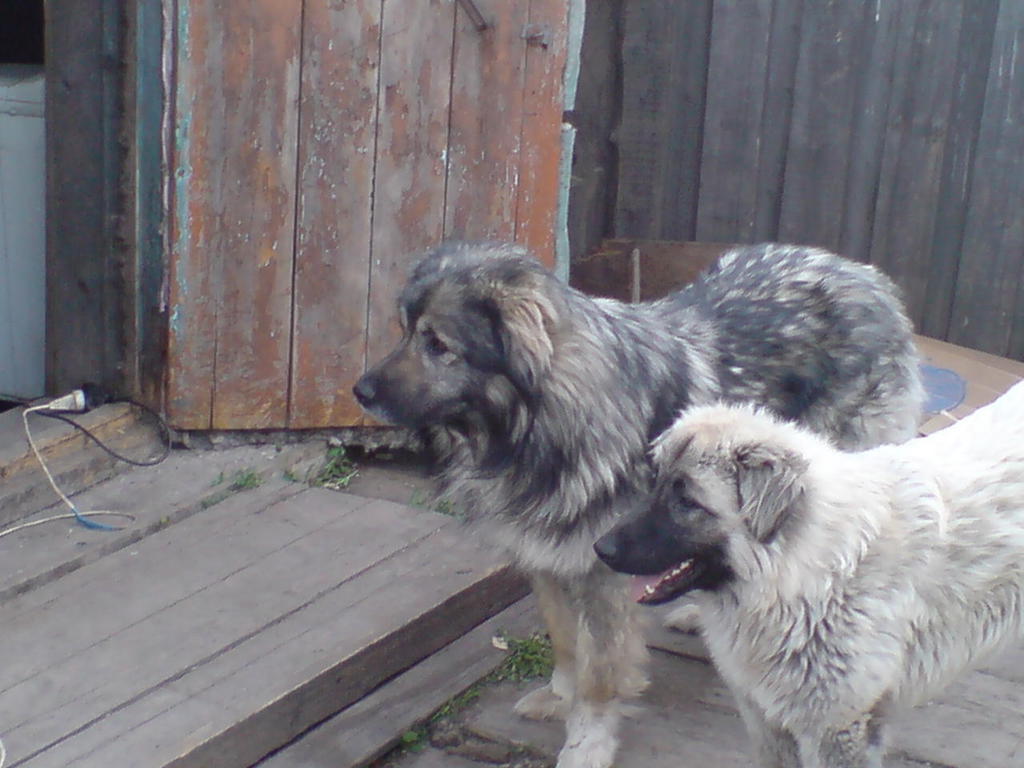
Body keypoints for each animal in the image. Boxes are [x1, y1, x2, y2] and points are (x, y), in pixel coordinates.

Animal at [353, 241, 923, 768]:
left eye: (437, 344)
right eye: (405, 331)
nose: (359, 391)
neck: (540, 427)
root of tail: (862, 273)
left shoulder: (602, 569)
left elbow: (601, 675)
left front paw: (586, 743)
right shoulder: (546, 557)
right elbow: (565, 640)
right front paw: (560, 696)